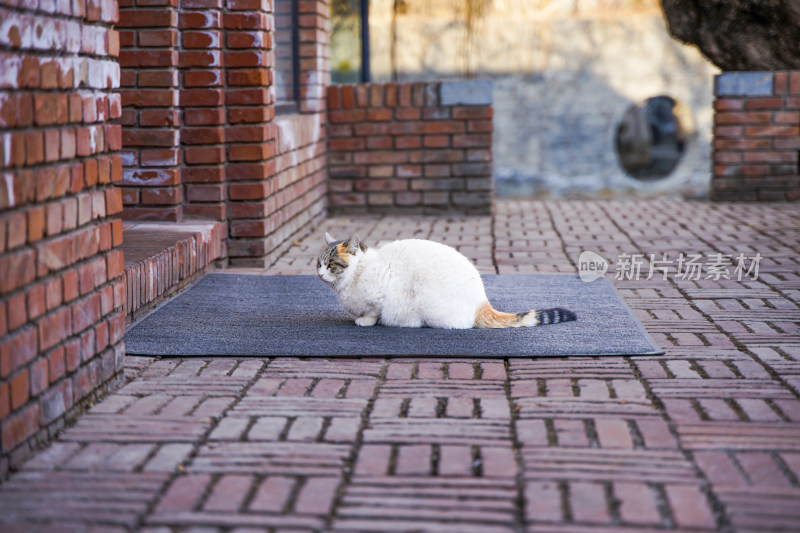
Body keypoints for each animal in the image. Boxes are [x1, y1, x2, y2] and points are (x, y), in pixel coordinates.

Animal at [314, 233, 576, 328]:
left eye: (331, 264)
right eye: (318, 264)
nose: (319, 274)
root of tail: (482, 302)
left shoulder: (378, 299)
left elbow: (372, 312)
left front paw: (364, 321)